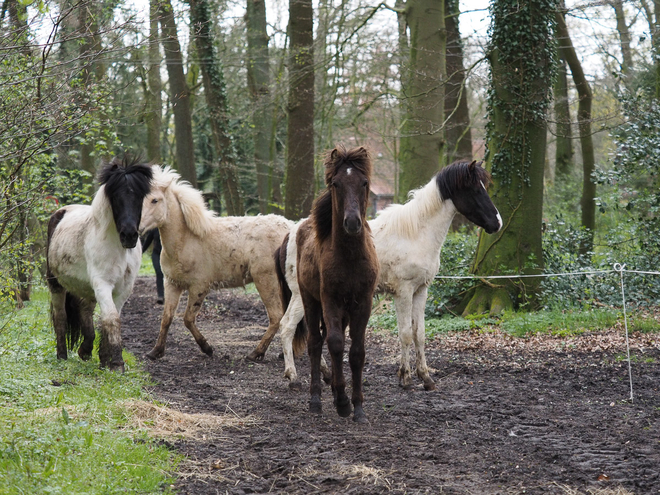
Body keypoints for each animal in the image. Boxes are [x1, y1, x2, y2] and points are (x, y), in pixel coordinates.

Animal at [46, 158, 152, 372]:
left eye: (139, 196)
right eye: (116, 196)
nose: (129, 235)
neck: (118, 249)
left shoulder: (123, 289)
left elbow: (107, 320)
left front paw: (105, 360)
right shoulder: (103, 284)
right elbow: (111, 319)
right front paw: (117, 363)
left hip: (85, 287)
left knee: (84, 310)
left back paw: (86, 350)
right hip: (56, 284)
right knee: (60, 316)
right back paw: (62, 355)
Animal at [139, 165, 294, 362]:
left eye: (155, 200)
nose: (137, 228)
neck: (186, 239)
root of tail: (291, 228)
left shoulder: (199, 287)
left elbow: (188, 319)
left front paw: (207, 348)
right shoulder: (172, 284)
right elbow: (166, 317)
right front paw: (156, 351)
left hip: (267, 282)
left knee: (276, 317)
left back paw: (256, 353)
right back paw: (283, 352)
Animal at [276, 159, 502, 392]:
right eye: (475, 190)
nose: (497, 223)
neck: (416, 233)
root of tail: (293, 233)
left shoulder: (421, 290)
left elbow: (419, 334)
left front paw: (426, 377)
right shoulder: (403, 292)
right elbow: (405, 334)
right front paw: (406, 377)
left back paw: (326, 374)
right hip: (302, 296)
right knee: (287, 327)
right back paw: (293, 376)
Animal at [296, 145, 378, 424]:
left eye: (364, 182)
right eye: (336, 184)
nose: (352, 222)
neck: (350, 257)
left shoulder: (363, 302)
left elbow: (356, 352)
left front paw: (359, 408)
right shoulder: (329, 299)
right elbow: (333, 343)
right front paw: (342, 403)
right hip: (310, 300)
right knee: (315, 342)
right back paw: (316, 399)